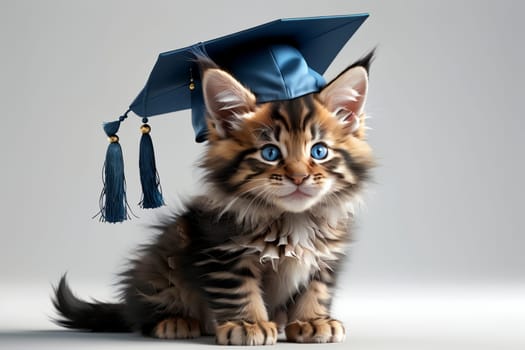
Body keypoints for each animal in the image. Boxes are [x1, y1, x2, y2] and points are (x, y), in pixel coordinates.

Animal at [52, 51, 372, 344]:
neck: (294, 218)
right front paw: (249, 324)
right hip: (165, 259)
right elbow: (240, 290)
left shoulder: (326, 255)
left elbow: (316, 288)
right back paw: (176, 321)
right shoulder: (221, 249)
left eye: (319, 151)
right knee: (147, 310)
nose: (298, 177)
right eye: (270, 153)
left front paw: (312, 321)